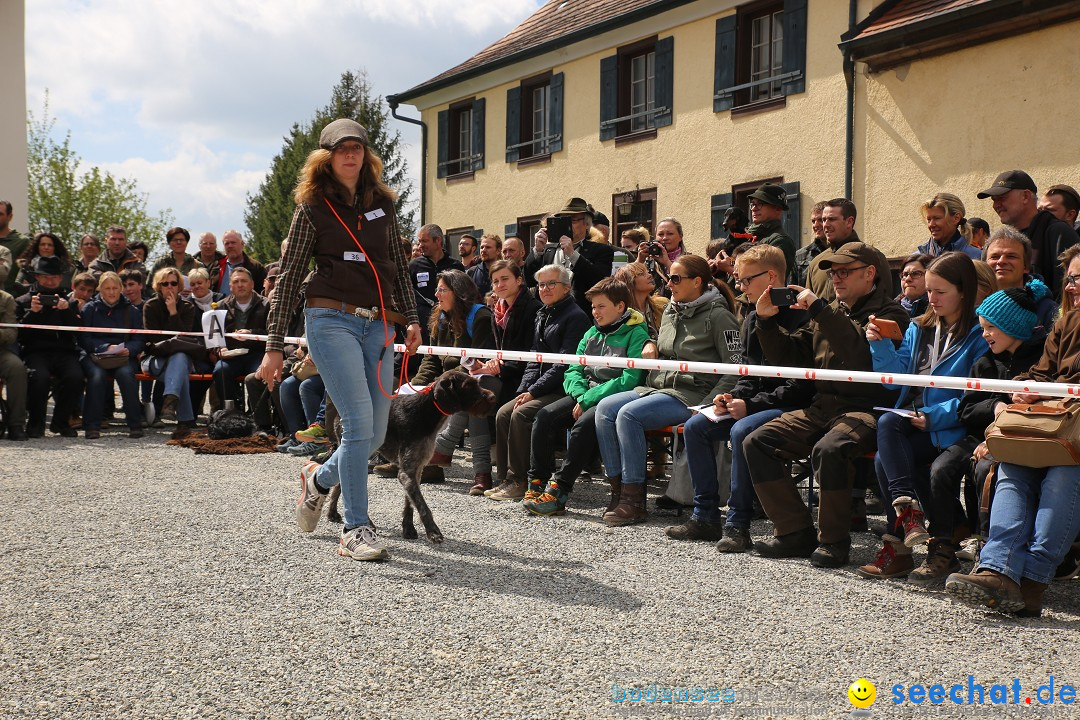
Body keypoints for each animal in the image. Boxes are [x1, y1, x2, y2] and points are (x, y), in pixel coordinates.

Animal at [328, 371, 496, 539]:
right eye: (468, 386)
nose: (493, 397)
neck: (426, 412)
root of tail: (338, 414)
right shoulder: (407, 472)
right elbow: (421, 504)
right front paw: (433, 531)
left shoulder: (416, 469)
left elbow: (410, 502)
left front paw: (408, 528)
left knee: (340, 484)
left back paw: (333, 512)